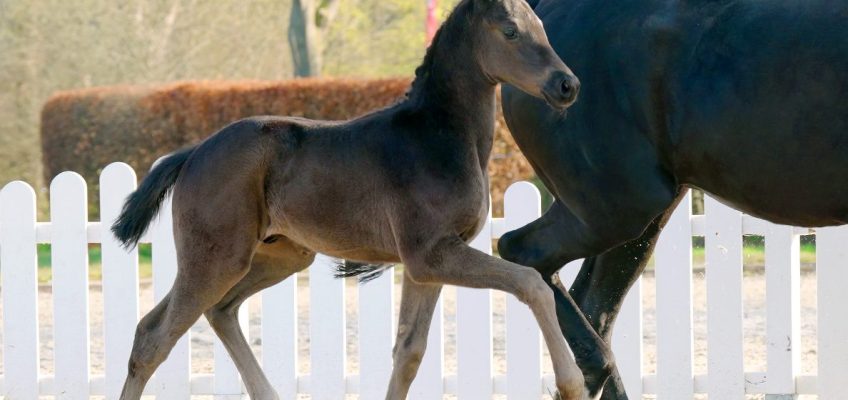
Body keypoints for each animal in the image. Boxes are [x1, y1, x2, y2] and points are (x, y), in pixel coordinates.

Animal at [112, 0, 588, 396]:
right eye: (510, 31)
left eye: (541, 26)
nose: (567, 85)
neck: (440, 139)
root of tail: (194, 153)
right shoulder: (431, 255)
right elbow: (532, 284)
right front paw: (572, 384)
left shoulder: (428, 265)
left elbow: (408, 353)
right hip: (215, 259)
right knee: (154, 337)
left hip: (280, 257)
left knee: (218, 312)